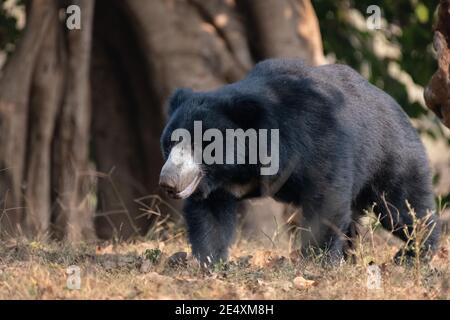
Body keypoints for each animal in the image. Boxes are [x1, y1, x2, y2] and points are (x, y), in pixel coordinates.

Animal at [160, 58, 442, 266]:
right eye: (170, 143)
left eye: (202, 144)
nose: (168, 182)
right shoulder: (216, 184)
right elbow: (210, 214)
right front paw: (209, 262)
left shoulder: (315, 136)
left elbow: (325, 197)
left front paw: (315, 261)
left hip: (390, 157)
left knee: (402, 208)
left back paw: (412, 254)